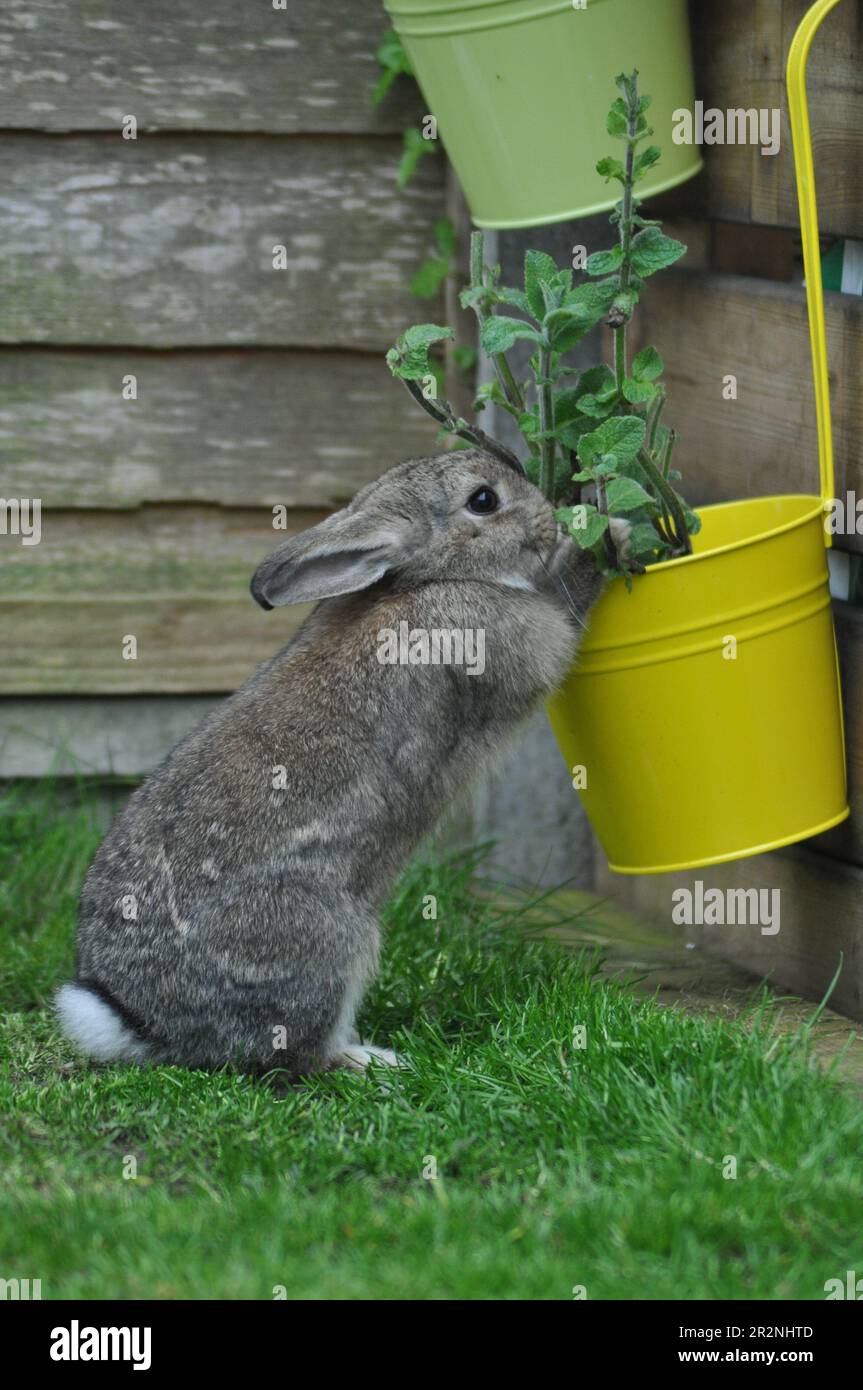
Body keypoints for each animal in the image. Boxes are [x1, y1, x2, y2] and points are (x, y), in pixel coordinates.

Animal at [56, 448, 619, 1075]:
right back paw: (373, 1061)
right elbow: (565, 610)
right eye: (483, 500)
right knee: (300, 1052)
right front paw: (610, 533)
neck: (430, 577)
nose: (548, 517)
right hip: (325, 936)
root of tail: (149, 1026)